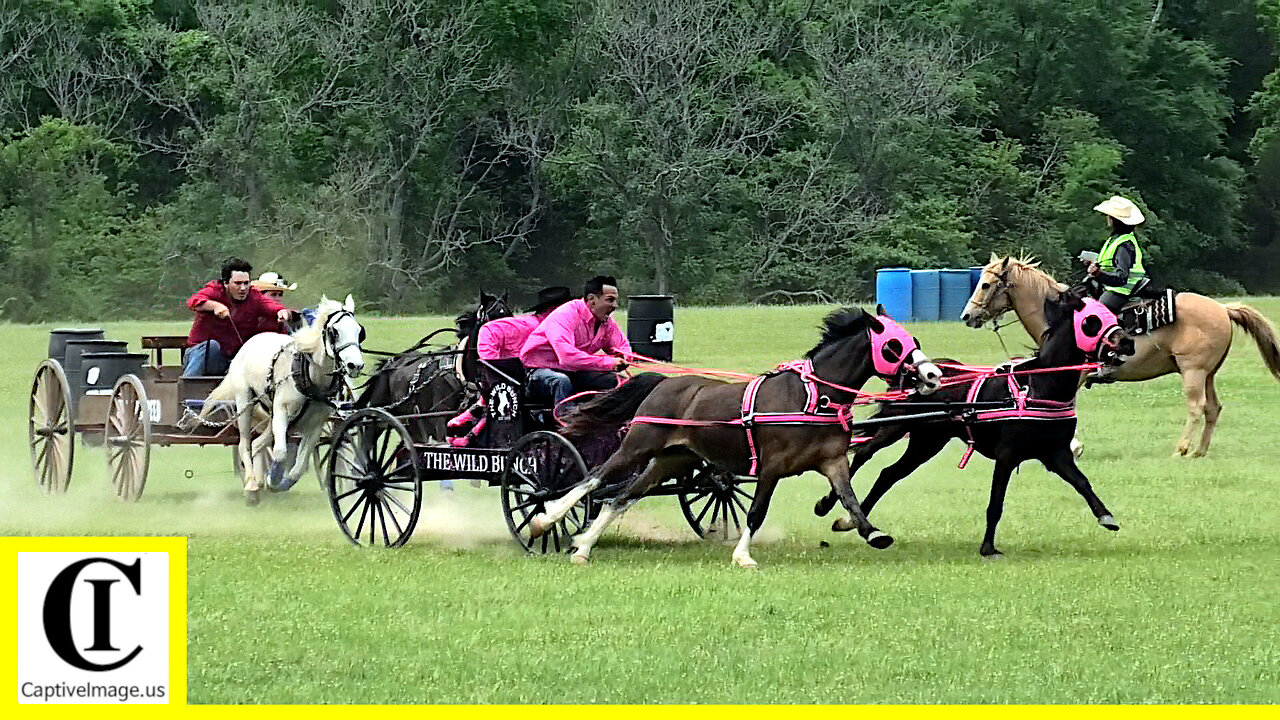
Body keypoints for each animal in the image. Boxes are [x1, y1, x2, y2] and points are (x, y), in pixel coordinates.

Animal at [199, 294, 368, 502]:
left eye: (359, 331)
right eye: (333, 332)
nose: (355, 365)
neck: (311, 376)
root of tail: (250, 341)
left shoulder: (316, 422)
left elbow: (300, 465)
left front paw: (282, 483)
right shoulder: (282, 409)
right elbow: (280, 452)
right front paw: (273, 477)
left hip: (273, 416)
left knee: (257, 443)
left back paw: (258, 480)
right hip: (245, 402)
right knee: (245, 444)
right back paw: (252, 485)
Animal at [353, 289, 512, 438]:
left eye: (510, 315)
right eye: (492, 317)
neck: (461, 374)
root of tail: (389, 363)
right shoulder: (440, 421)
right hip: (377, 416)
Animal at [527, 304, 942, 563]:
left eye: (915, 343)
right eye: (894, 346)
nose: (933, 375)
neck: (812, 396)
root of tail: (664, 383)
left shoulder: (832, 461)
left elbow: (851, 499)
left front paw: (873, 533)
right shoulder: (772, 466)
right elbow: (757, 511)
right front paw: (742, 555)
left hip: (672, 459)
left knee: (622, 496)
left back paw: (583, 547)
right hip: (639, 444)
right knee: (594, 479)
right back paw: (545, 518)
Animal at [814, 292, 1136, 556]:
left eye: (1114, 317)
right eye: (1092, 321)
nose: (1128, 342)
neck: (1036, 388)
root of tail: (913, 375)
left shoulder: (1055, 453)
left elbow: (1082, 482)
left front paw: (1106, 516)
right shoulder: (1007, 455)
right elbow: (996, 502)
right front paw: (988, 548)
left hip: (927, 441)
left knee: (888, 474)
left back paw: (849, 521)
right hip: (895, 425)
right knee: (864, 453)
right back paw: (828, 504)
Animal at [962, 253, 1280, 453]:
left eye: (986, 284)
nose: (967, 316)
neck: (1061, 317)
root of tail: (1223, 309)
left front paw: (1074, 446)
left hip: (1193, 371)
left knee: (1197, 407)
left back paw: (1181, 449)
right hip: (1208, 374)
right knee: (1213, 408)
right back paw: (1199, 452)